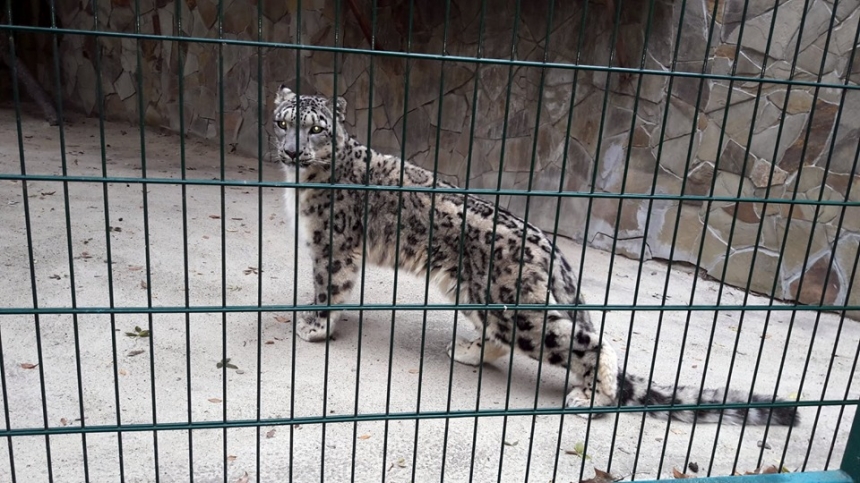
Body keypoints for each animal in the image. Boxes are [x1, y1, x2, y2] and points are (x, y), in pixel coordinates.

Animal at [270, 86, 800, 428]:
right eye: (283, 123)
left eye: (315, 130)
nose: (292, 151)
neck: (302, 184)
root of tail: (549, 247)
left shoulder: (330, 245)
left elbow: (328, 288)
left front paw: (314, 327)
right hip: (476, 293)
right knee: (501, 338)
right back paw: (466, 351)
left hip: (521, 311)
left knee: (587, 341)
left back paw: (591, 396)